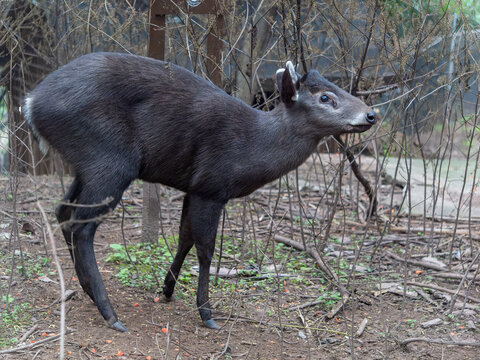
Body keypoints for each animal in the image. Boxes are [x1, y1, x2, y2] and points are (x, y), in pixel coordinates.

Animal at [23, 52, 376, 332]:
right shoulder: (212, 186)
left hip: (85, 164)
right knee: (82, 226)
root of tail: (30, 104)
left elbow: (184, 237)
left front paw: (166, 289)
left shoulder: (193, 187)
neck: (253, 146)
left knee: (63, 210)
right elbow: (206, 249)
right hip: (109, 159)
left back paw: (86, 290)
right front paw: (206, 312)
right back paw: (110, 313)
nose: (371, 114)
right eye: (325, 97)